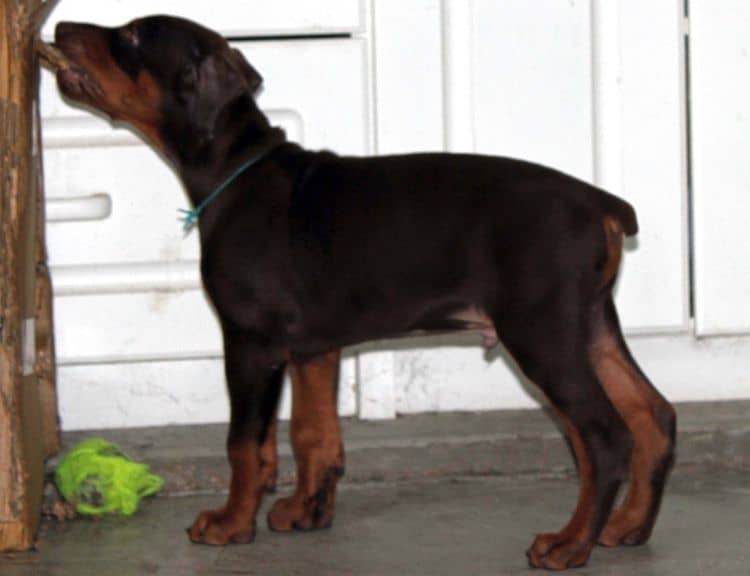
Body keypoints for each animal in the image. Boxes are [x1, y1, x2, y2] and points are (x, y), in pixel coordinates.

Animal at [51, 15, 676, 568]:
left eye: (134, 35)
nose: (59, 28)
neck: (236, 169)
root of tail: (602, 205)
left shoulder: (251, 342)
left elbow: (245, 444)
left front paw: (231, 523)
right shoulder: (313, 347)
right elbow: (312, 433)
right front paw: (307, 511)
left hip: (541, 332)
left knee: (604, 436)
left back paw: (570, 544)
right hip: (588, 324)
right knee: (654, 414)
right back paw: (629, 526)